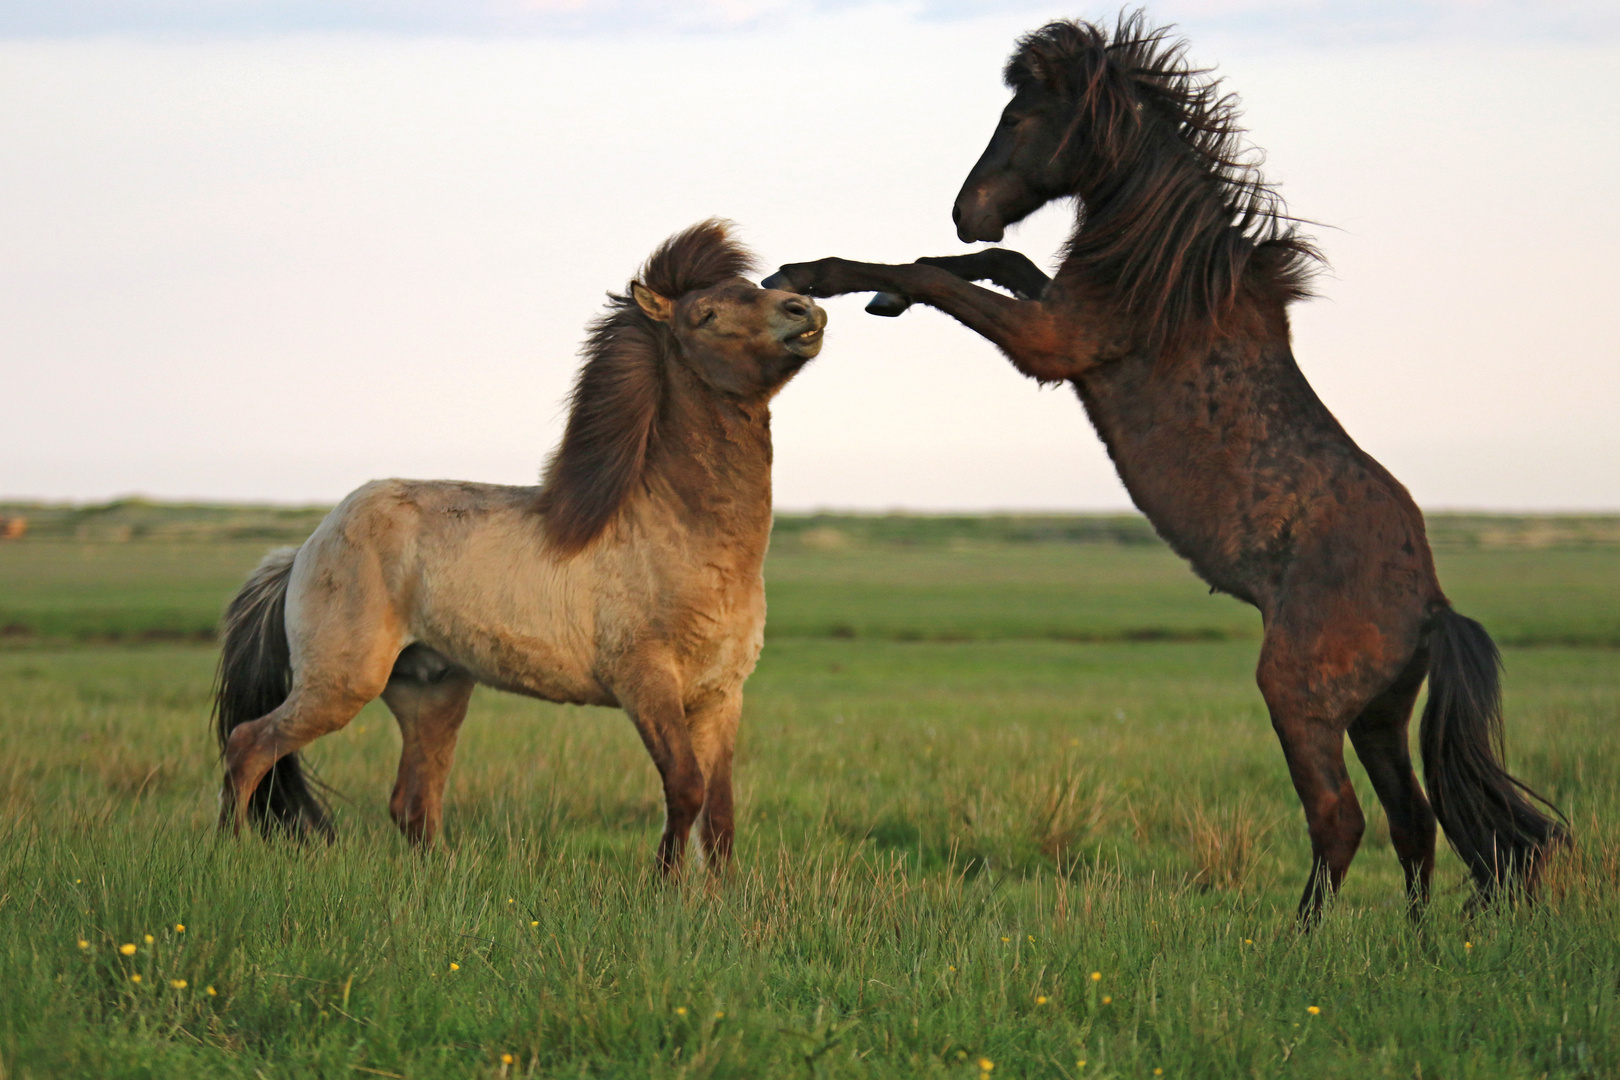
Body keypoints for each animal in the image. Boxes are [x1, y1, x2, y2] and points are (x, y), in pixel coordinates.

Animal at [215, 223, 822, 874]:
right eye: (704, 314)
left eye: (753, 289)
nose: (804, 311)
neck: (683, 538)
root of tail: (305, 548)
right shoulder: (647, 687)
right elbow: (685, 789)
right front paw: (663, 887)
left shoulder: (719, 697)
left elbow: (721, 813)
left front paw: (718, 895)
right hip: (340, 685)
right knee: (248, 745)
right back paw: (228, 853)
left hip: (430, 693)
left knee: (412, 803)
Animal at [764, 12, 1561, 919]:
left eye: (1017, 118)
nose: (968, 212)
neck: (1172, 275)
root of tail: (1432, 604)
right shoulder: (1060, 313)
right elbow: (997, 270)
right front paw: (887, 295)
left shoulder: (1052, 344)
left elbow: (942, 276)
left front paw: (815, 276)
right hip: (1377, 718)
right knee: (1414, 823)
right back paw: (1417, 938)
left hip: (1301, 700)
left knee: (1342, 820)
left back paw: (1297, 938)